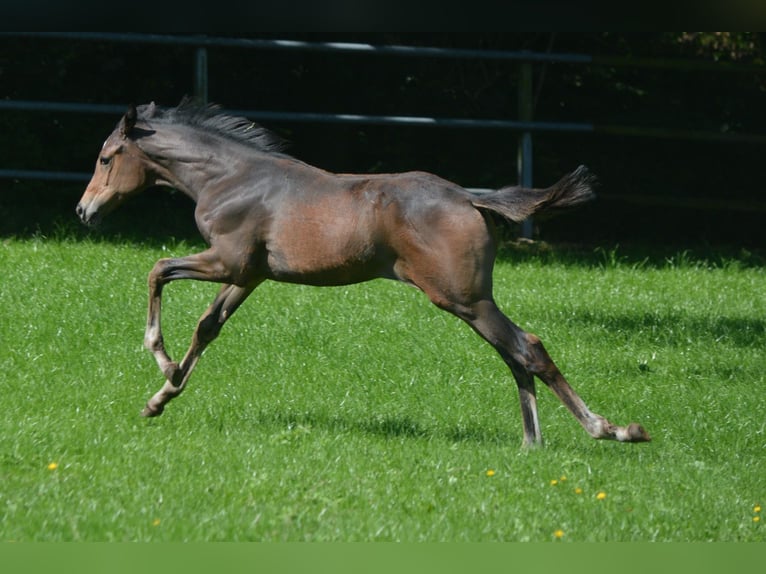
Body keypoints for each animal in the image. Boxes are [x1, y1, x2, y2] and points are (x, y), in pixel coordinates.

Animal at [78, 101, 652, 448]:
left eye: (106, 157)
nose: (85, 212)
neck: (233, 177)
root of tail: (471, 198)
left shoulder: (227, 259)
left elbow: (157, 271)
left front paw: (159, 359)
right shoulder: (249, 275)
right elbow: (207, 327)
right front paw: (163, 395)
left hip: (463, 298)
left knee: (526, 347)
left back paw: (611, 430)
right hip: (469, 301)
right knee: (516, 353)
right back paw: (533, 443)